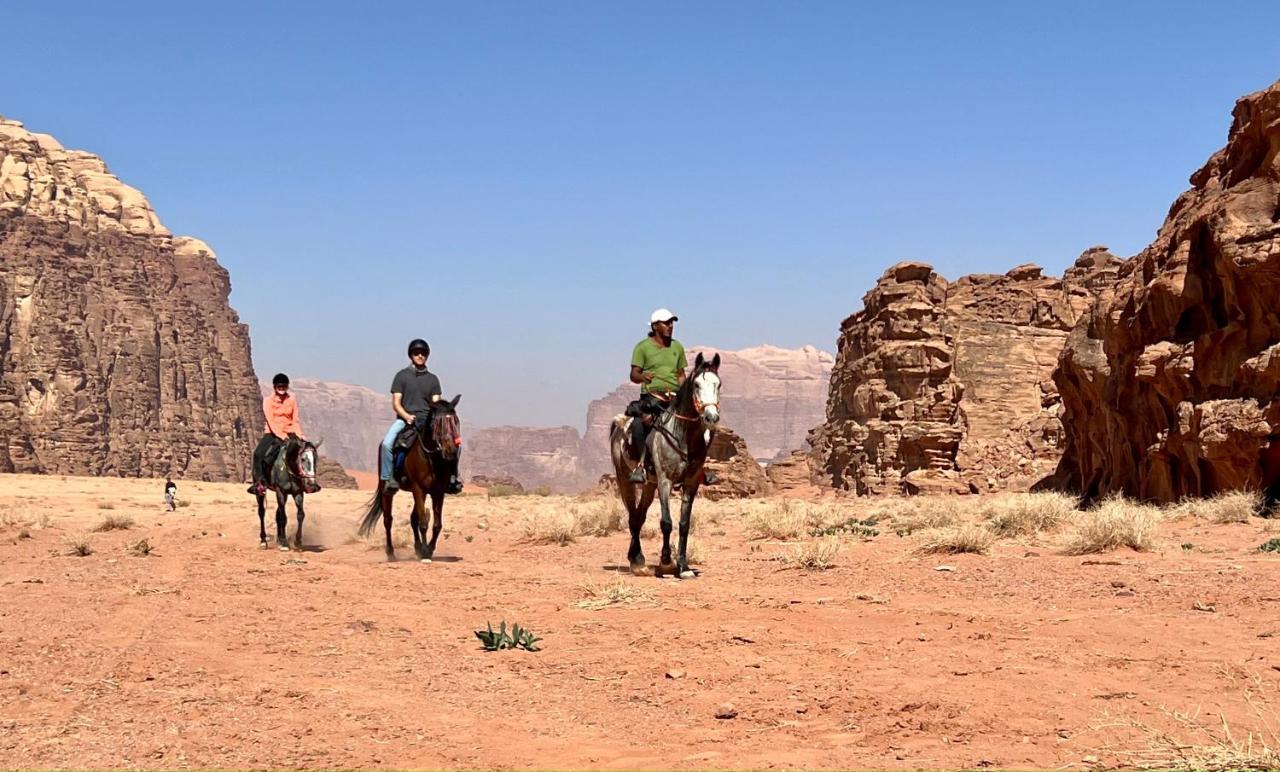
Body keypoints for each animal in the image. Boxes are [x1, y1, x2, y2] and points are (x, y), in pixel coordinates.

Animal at [358, 399, 463, 560]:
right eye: (437, 423)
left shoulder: (438, 492)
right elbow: (423, 523)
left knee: (413, 518)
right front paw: (426, 552)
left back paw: (417, 548)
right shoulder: (418, 489)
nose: (451, 450)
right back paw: (391, 553)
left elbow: (436, 525)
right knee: (388, 520)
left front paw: (429, 549)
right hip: (388, 490)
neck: (430, 457)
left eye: (456, 421)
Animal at [609, 353, 721, 576]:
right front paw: (667, 562)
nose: (711, 417)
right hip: (625, 479)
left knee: (639, 516)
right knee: (632, 516)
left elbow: (684, 524)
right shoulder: (664, 481)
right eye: (696, 385)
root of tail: (619, 426)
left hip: (649, 485)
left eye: (718, 384)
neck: (682, 436)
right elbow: (666, 523)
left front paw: (683, 566)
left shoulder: (691, 483)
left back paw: (637, 558)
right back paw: (637, 562)